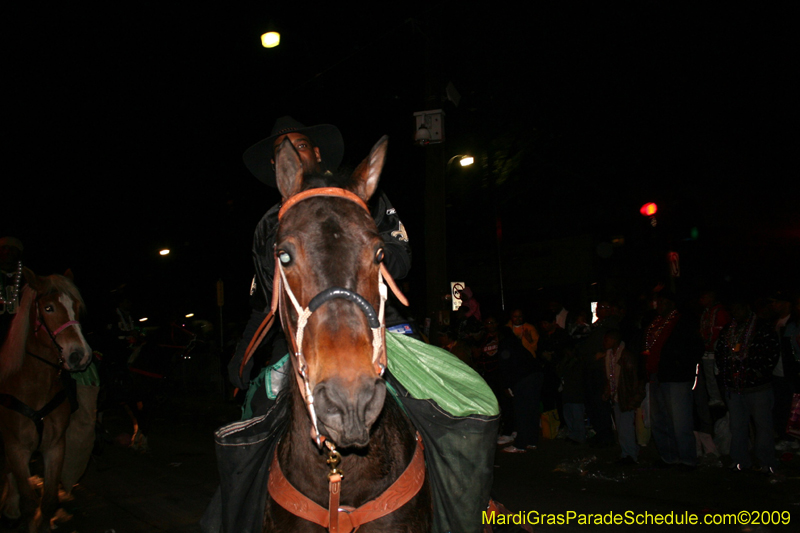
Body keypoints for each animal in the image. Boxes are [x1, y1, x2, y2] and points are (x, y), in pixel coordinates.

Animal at [0, 270, 92, 532]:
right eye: (48, 308)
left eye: (76, 307)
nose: (81, 356)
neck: (35, 388)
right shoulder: (16, 447)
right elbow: (30, 501)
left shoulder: (55, 446)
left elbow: (49, 500)